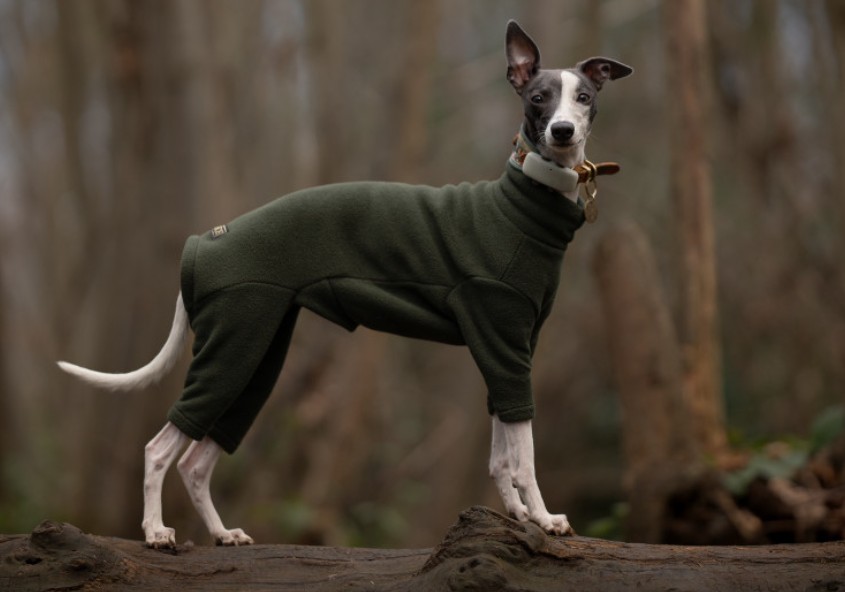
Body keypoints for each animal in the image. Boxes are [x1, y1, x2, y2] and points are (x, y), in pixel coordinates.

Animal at [56, 23, 628, 552]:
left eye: (584, 97)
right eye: (538, 97)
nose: (561, 131)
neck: (522, 203)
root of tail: (203, 241)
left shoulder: (507, 348)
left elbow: (500, 455)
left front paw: (518, 515)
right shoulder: (503, 341)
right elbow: (523, 456)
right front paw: (546, 518)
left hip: (258, 354)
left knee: (196, 460)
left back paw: (223, 533)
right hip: (232, 346)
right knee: (160, 449)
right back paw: (155, 532)